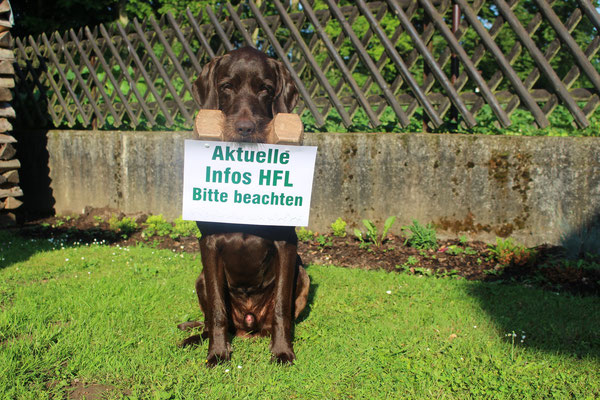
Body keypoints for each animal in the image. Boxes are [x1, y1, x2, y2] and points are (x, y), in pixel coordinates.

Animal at [177, 47, 310, 366]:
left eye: (266, 89)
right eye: (226, 86)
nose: (245, 128)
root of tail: (248, 326)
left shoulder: (287, 243)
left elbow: (281, 309)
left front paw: (282, 351)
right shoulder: (209, 244)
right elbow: (217, 310)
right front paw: (217, 353)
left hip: (304, 275)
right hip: (200, 278)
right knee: (209, 320)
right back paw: (194, 339)